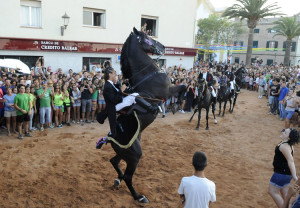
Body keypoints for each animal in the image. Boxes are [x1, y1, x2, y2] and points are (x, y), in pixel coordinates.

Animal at [102, 27, 186, 203]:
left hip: (125, 154)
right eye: (147, 37)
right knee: (128, 177)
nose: (163, 47)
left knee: (114, 161)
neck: (147, 73)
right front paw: (178, 103)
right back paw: (139, 197)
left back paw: (118, 180)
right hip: (134, 156)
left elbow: (184, 86)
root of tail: (110, 138)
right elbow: (184, 86)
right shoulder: (168, 92)